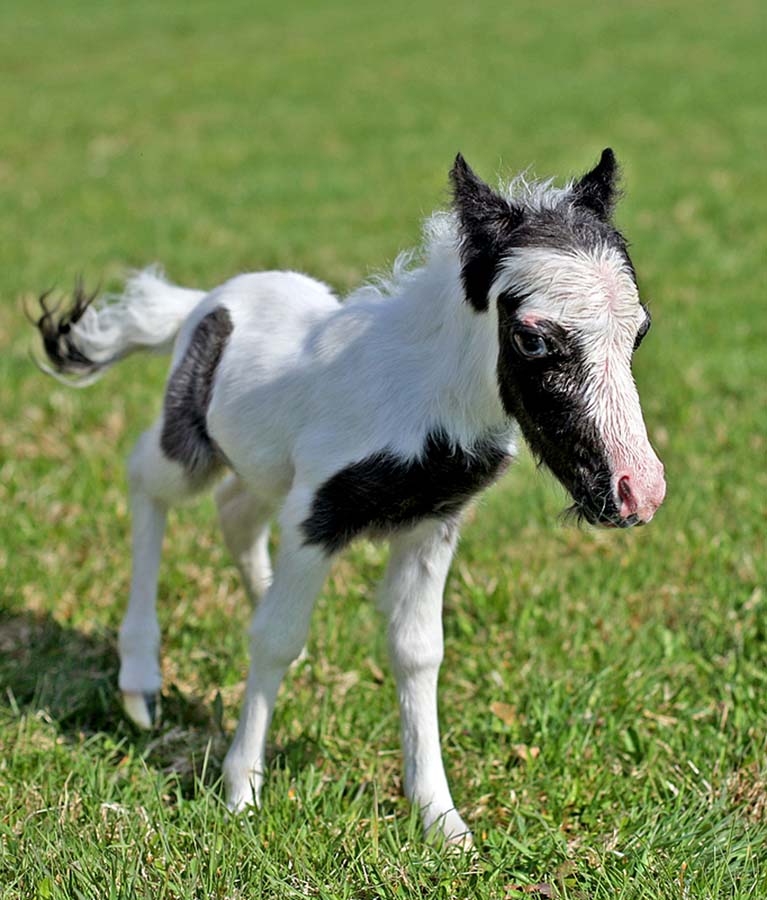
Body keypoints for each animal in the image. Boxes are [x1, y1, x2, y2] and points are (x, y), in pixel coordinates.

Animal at [34, 149, 664, 844]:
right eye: (532, 338)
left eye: (640, 330)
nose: (639, 493)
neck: (422, 396)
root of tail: (205, 301)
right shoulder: (317, 516)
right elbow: (275, 638)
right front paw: (241, 793)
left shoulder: (431, 524)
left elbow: (418, 651)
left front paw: (440, 817)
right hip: (193, 448)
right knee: (147, 476)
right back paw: (140, 681)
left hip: (269, 468)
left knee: (236, 509)